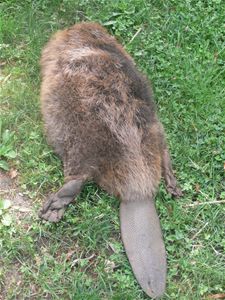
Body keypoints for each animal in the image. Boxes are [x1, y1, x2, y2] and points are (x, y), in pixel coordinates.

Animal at [39, 22, 183, 298]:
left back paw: (54, 207)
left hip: (82, 146)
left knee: (80, 175)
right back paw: (174, 186)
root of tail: (138, 196)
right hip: (154, 127)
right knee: (163, 150)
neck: (90, 45)